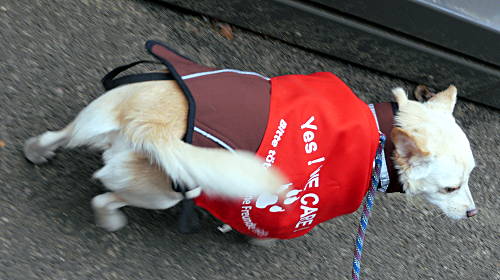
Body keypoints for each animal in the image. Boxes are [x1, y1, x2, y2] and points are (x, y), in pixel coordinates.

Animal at [23, 42, 476, 243]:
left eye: (472, 177)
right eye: (449, 189)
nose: (473, 214)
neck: (381, 135)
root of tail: (151, 126)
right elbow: (264, 227)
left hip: (95, 119)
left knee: (54, 136)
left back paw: (37, 152)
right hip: (163, 194)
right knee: (105, 199)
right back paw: (111, 221)